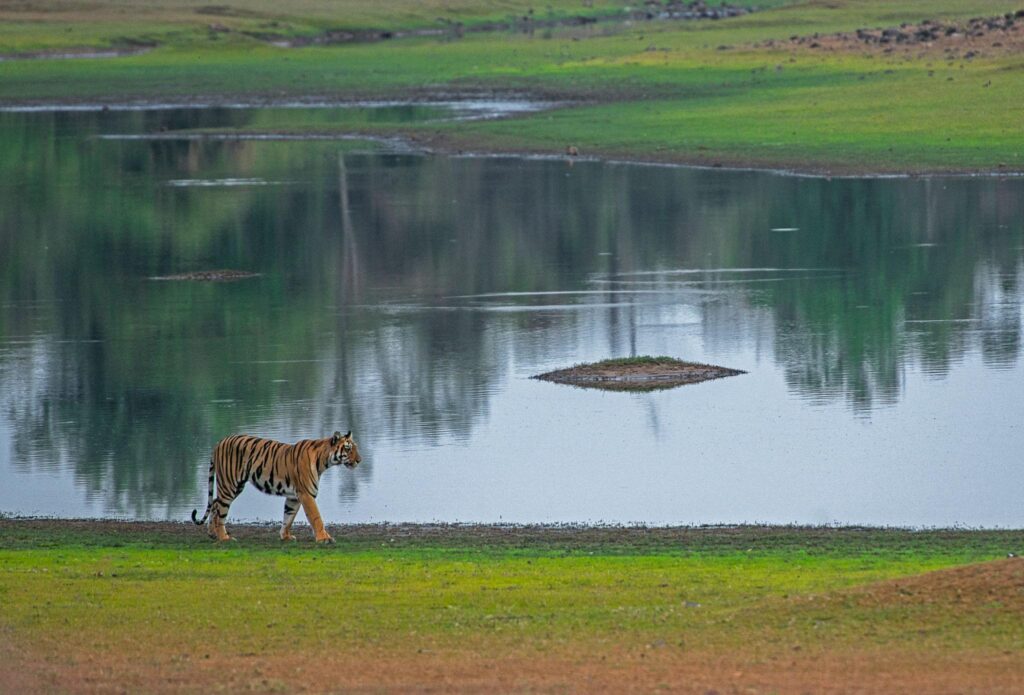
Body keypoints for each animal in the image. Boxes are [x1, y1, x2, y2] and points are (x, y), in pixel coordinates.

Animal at [191, 431, 361, 543]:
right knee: (220, 510)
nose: (359, 460)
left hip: (235, 486)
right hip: (229, 485)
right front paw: (324, 538)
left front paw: (286, 536)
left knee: (214, 504)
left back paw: (212, 534)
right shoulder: (306, 494)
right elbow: (316, 517)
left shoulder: (294, 497)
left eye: (355, 447)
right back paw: (224, 537)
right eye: (348, 448)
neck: (323, 461)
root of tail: (219, 442)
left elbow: (288, 517)